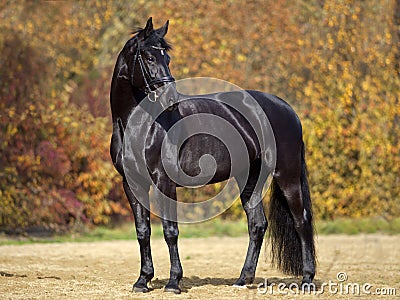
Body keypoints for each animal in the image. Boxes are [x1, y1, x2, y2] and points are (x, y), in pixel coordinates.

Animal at [109, 18, 316, 292]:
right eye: (149, 57)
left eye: (167, 57)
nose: (171, 98)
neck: (138, 124)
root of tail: (287, 109)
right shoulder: (132, 183)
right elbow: (143, 231)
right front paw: (143, 281)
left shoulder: (164, 181)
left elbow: (170, 231)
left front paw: (173, 282)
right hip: (250, 176)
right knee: (257, 224)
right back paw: (242, 280)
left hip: (287, 175)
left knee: (301, 220)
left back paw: (307, 280)